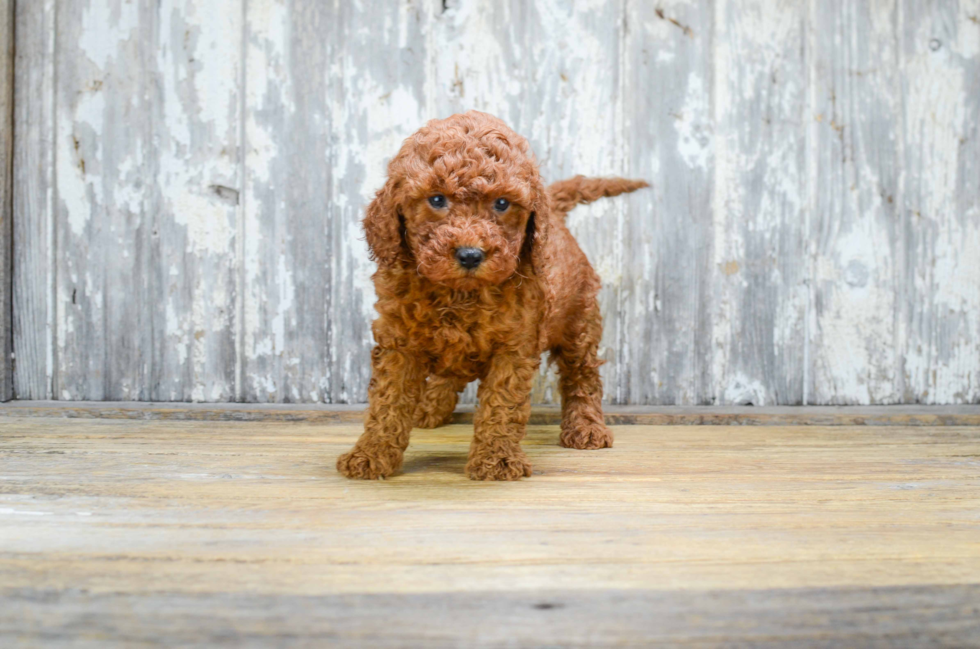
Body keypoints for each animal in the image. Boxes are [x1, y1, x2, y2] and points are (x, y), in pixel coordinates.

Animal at [336, 109, 652, 478]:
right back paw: (430, 406)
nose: (471, 255)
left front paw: (497, 459)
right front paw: (371, 454)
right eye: (437, 199)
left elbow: (501, 404)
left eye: (502, 204)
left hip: (580, 322)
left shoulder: (513, 348)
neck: (460, 294)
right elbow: (387, 402)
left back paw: (586, 427)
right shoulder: (399, 343)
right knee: (448, 373)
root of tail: (556, 216)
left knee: (582, 375)